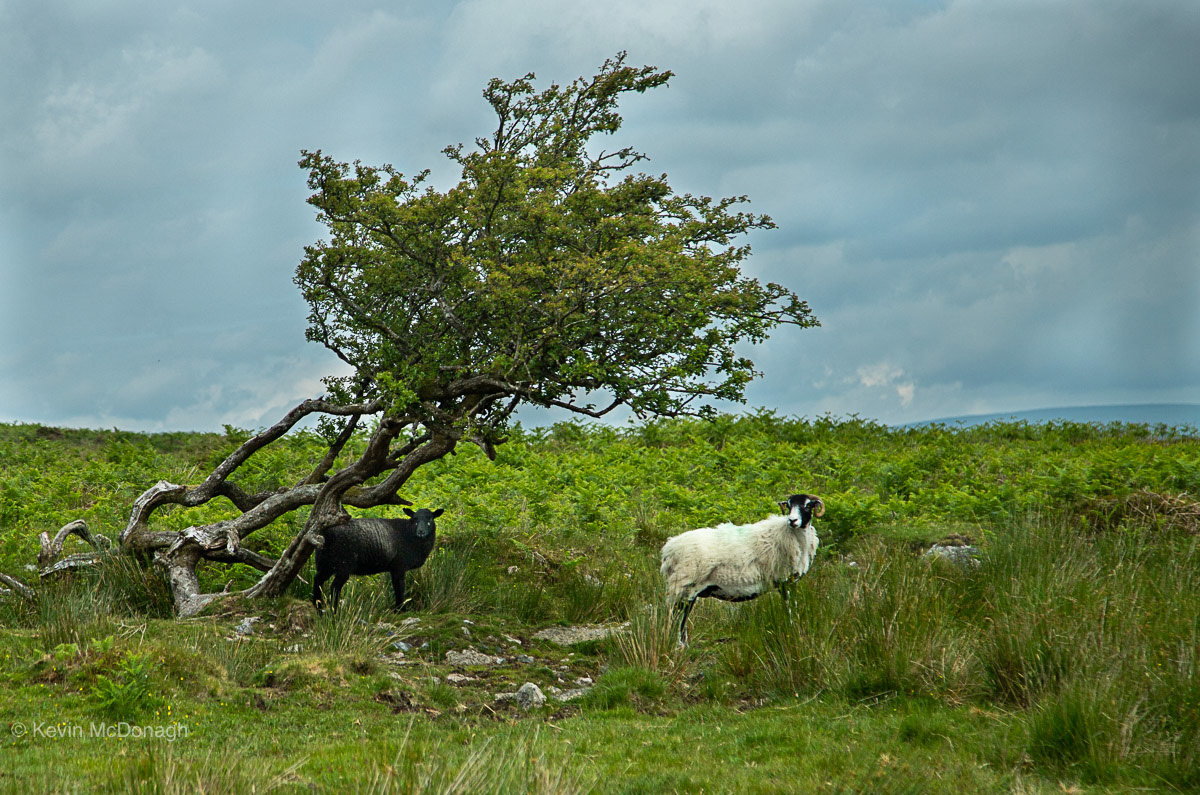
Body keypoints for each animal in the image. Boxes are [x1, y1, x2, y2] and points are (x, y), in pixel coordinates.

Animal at [312, 507, 444, 614]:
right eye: (415, 519)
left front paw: (398, 609)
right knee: (335, 587)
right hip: (343, 565)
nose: (421, 532)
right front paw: (401, 610)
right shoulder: (399, 566)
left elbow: (397, 587)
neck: (409, 534)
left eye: (430, 519)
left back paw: (318, 608)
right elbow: (399, 587)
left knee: (318, 580)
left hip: (325, 563)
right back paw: (334, 612)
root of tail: (326, 534)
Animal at [659, 494, 824, 646]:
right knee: (676, 615)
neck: (793, 537)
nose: (792, 520)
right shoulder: (785, 581)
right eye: (789, 506)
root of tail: (669, 549)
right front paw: (793, 630)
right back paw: (678, 644)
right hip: (684, 584)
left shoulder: (790, 581)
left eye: (807, 506)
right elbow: (790, 608)